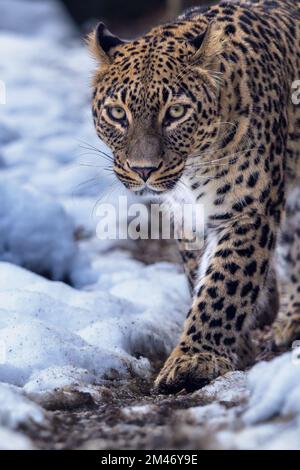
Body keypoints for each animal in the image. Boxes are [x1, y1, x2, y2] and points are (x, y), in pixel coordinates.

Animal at [88, 0, 300, 394]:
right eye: (117, 113)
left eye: (175, 112)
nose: (143, 170)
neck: (194, 169)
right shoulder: (187, 218)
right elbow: (200, 276)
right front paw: (235, 344)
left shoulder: (247, 211)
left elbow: (225, 284)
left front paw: (196, 360)